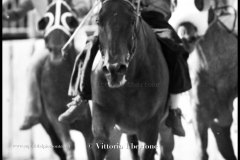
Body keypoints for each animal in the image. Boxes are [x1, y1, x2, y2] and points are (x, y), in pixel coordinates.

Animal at [36, 0, 93, 159]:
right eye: (45, 20)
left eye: (70, 20)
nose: (56, 48)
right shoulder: (54, 117)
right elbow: (68, 144)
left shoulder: (87, 123)